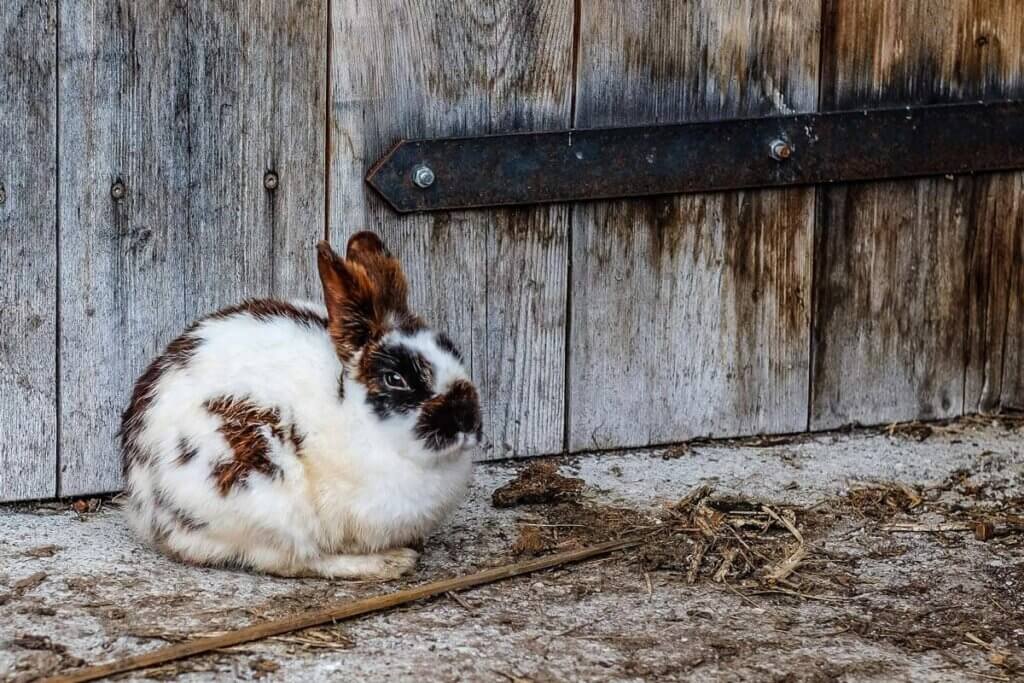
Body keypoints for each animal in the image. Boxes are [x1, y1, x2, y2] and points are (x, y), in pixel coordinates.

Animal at [119, 231, 482, 579]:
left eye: (455, 353)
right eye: (396, 379)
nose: (467, 420)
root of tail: (146, 506)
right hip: (264, 494)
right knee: (296, 560)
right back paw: (389, 563)